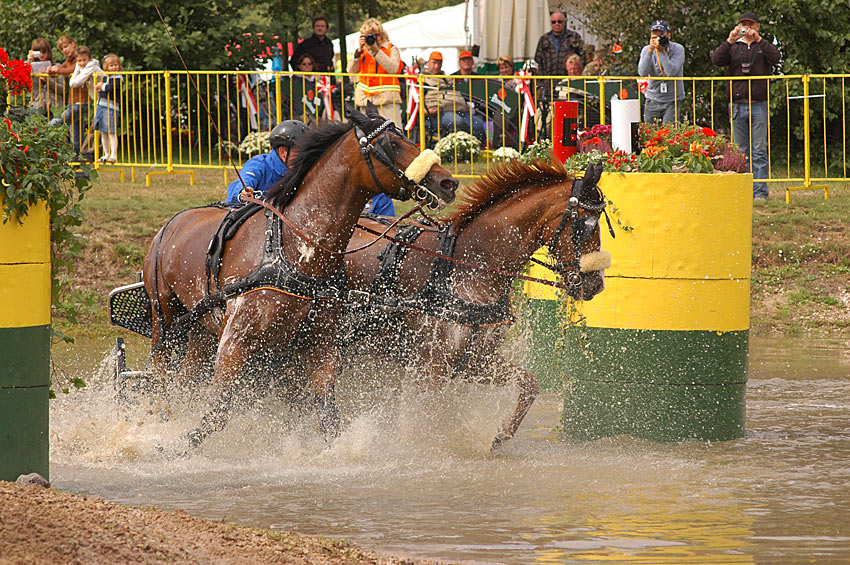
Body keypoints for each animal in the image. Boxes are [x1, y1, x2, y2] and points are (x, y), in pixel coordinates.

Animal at [142, 108, 458, 454]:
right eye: (394, 144)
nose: (448, 182)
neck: (297, 247)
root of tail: (173, 222)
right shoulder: (235, 342)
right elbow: (217, 412)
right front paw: (176, 447)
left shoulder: (320, 346)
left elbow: (327, 413)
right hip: (165, 321)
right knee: (162, 374)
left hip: (202, 328)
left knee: (186, 378)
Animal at [342, 160, 608, 450]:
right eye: (584, 225)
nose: (596, 284)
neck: (467, 266)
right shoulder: (433, 367)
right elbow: (430, 416)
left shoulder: (477, 361)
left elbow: (529, 383)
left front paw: (502, 433)